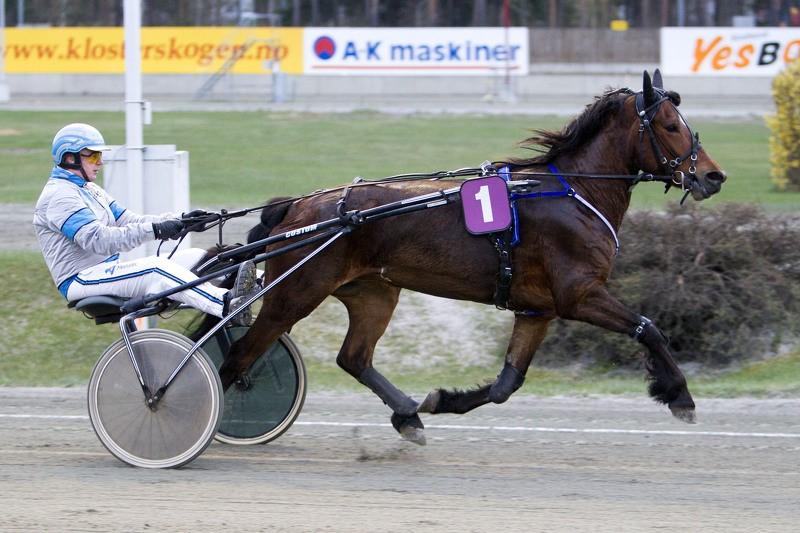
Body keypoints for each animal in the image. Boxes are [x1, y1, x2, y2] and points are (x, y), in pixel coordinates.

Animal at [209, 71, 720, 444]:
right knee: (239, 357)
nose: (714, 176)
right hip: (296, 293)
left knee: (353, 357)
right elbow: (649, 328)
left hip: (373, 292)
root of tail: (296, 207)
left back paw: (408, 415)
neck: (574, 192)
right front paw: (679, 395)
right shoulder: (579, 294)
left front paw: (441, 401)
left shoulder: (537, 310)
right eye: (671, 126)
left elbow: (507, 383)